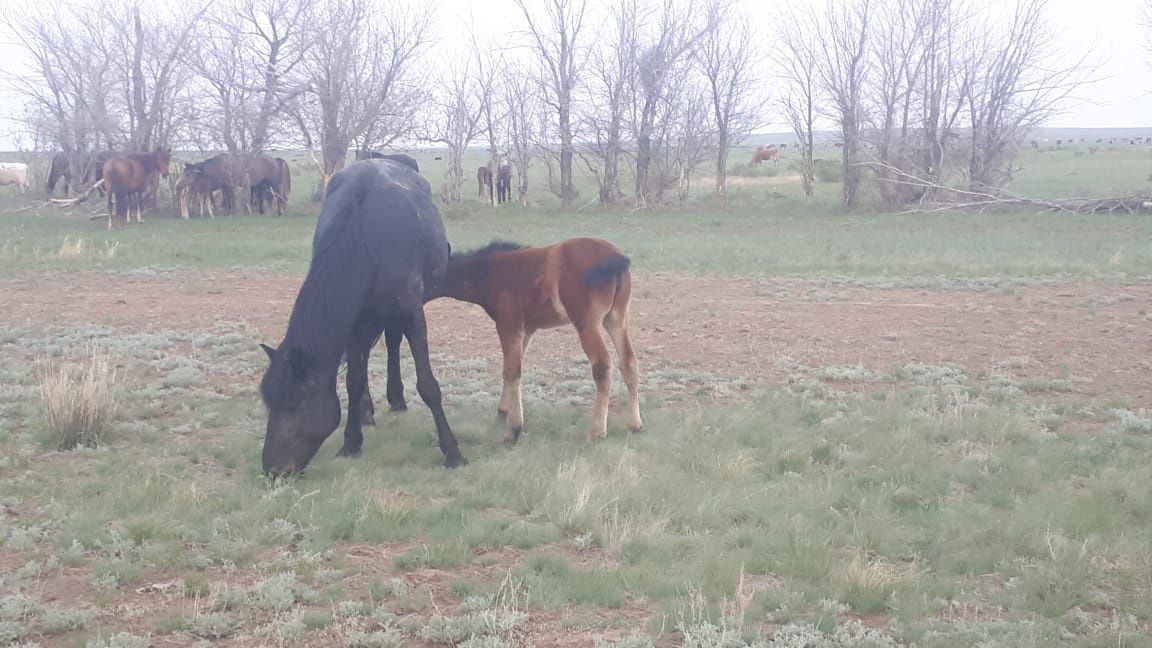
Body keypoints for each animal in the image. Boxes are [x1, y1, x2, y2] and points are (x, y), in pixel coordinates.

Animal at [259, 156, 465, 475]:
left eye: (296, 403)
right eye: (270, 403)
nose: (272, 469)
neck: (365, 237)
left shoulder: (412, 311)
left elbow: (428, 385)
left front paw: (453, 452)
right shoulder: (355, 321)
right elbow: (353, 382)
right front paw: (351, 443)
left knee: (393, 342)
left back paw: (396, 399)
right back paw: (369, 411)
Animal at [435, 237, 645, 442]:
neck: (491, 272)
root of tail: (617, 259)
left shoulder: (508, 325)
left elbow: (512, 371)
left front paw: (512, 431)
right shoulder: (527, 329)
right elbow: (511, 367)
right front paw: (504, 411)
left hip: (587, 324)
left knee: (602, 366)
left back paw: (597, 432)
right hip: (616, 319)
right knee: (629, 362)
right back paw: (635, 425)